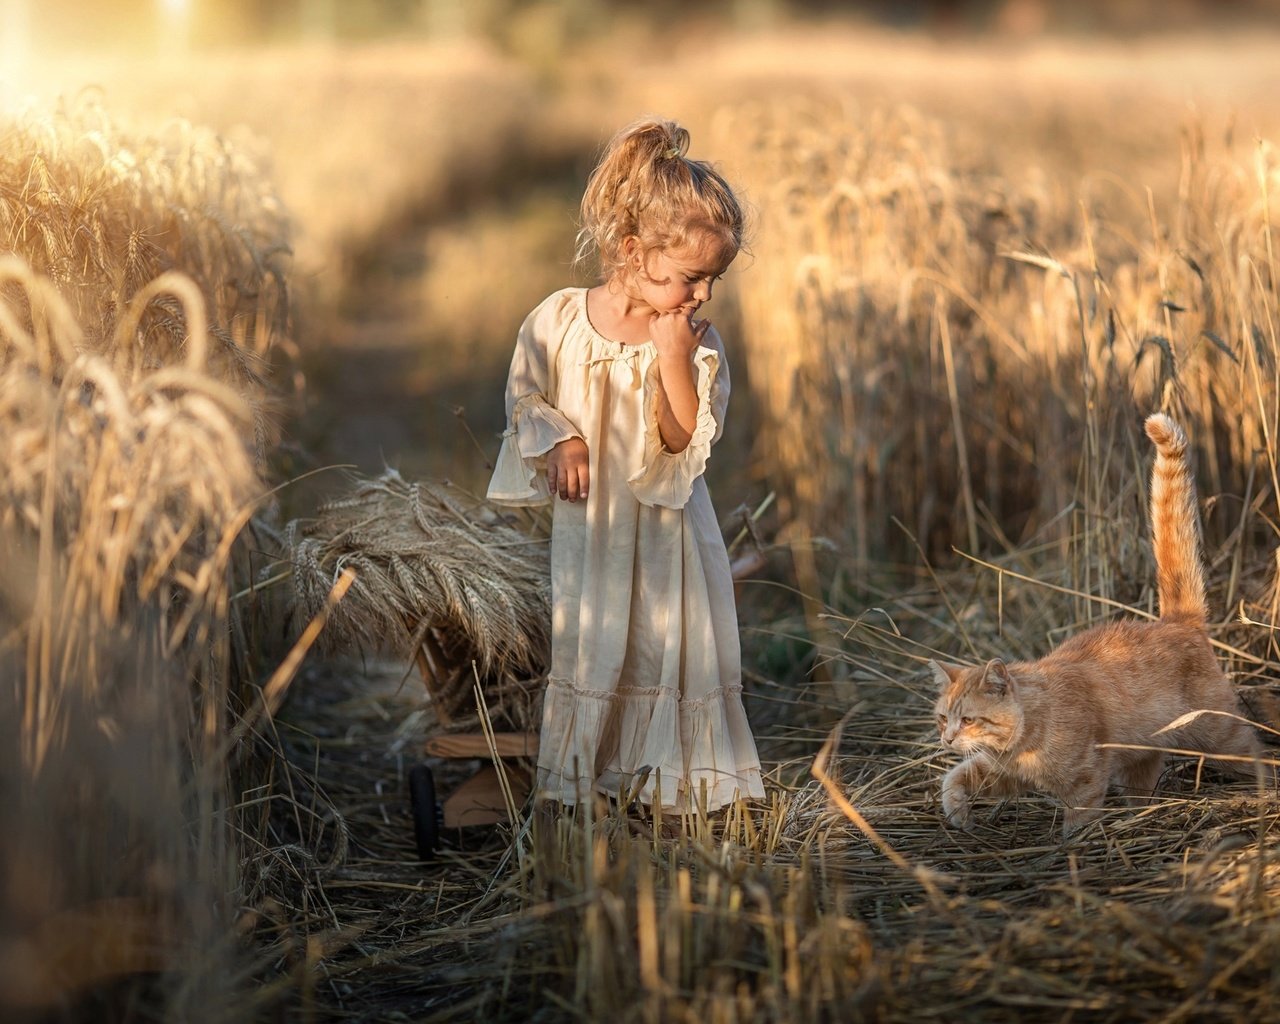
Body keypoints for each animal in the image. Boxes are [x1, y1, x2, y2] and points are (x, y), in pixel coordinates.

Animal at [931, 412, 1269, 834]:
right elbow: (954, 777)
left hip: (1218, 735)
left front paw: (1072, 844)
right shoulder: (1000, 772)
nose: (946, 740)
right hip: (1142, 756)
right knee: (1143, 785)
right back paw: (1139, 818)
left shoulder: (1086, 780)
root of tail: (1177, 621)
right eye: (943, 718)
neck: (1028, 729)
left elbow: (1079, 822)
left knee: (1255, 753)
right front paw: (957, 812)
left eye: (969, 719)